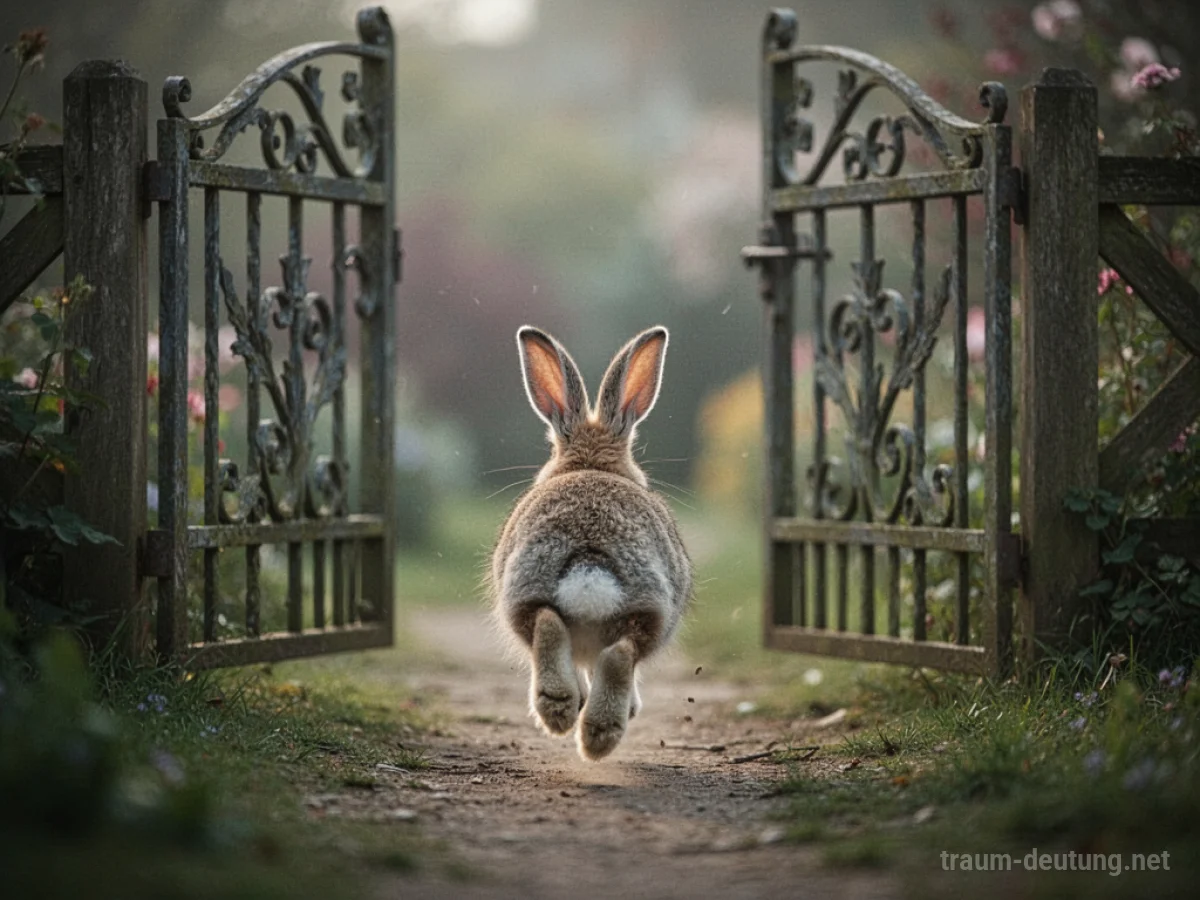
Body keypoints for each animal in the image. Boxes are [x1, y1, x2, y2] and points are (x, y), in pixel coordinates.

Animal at [489, 325, 693, 761]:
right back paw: (599, 729)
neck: (590, 463)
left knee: (552, 627)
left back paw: (568, 713)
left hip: (525, 589)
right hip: (652, 610)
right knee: (618, 654)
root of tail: (589, 559)